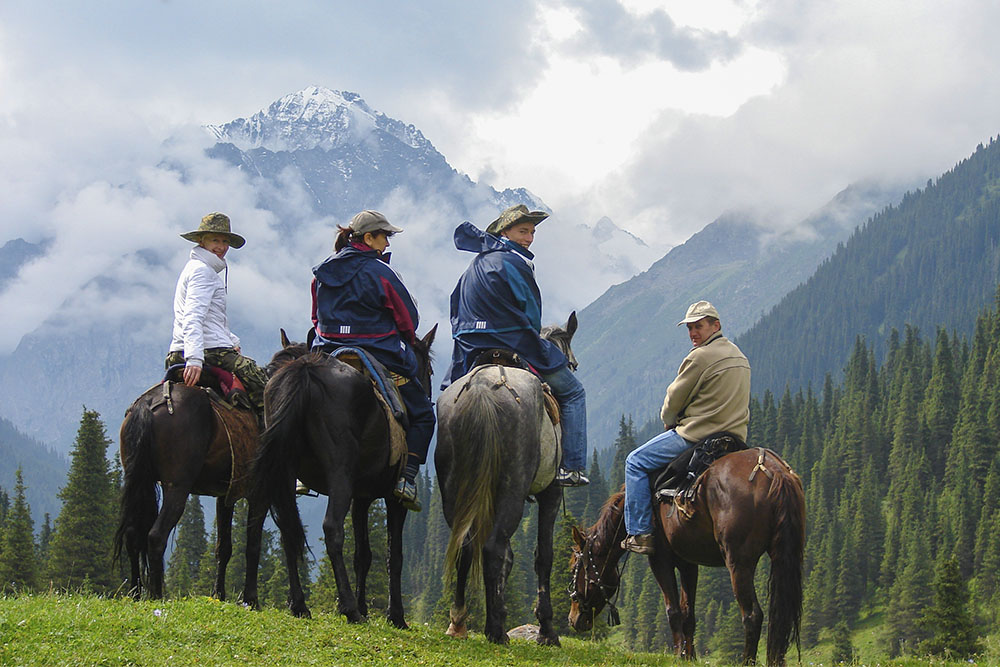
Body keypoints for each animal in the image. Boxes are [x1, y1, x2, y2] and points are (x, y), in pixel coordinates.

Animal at [113, 370, 268, 604]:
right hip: (177, 488)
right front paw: (251, 600)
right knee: (156, 536)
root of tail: (148, 404)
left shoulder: (225, 496)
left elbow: (224, 547)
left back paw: (136, 593)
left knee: (133, 535)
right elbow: (253, 546)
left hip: (141, 481)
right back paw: (156, 596)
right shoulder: (262, 493)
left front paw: (219, 595)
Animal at [252, 326, 436, 628]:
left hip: (285, 472)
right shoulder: (392, 500)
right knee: (331, 529)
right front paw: (395, 615)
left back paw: (300, 605)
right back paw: (350, 609)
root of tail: (306, 370)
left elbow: (363, 554)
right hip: (339, 473)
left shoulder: (360, 498)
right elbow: (394, 556)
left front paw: (364, 605)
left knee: (288, 529)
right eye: (429, 371)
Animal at [436, 312, 580, 648]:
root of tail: (481, 388)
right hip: (512, 488)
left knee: (466, 544)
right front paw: (547, 630)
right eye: (572, 364)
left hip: (455, 489)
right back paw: (496, 631)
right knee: (491, 547)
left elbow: (509, 558)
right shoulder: (551, 493)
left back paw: (459, 623)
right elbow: (543, 555)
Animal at [568, 448, 808, 667]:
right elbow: (688, 613)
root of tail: (776, 472)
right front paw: (688, 656)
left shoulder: (659, 560)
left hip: (739, 562)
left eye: (573, 569)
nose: (573, 619)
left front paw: (678, 655)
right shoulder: (688, 563)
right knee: (781, 616)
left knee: (752, 615)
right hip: (783, 555)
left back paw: (747, 661)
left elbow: (673, 611)